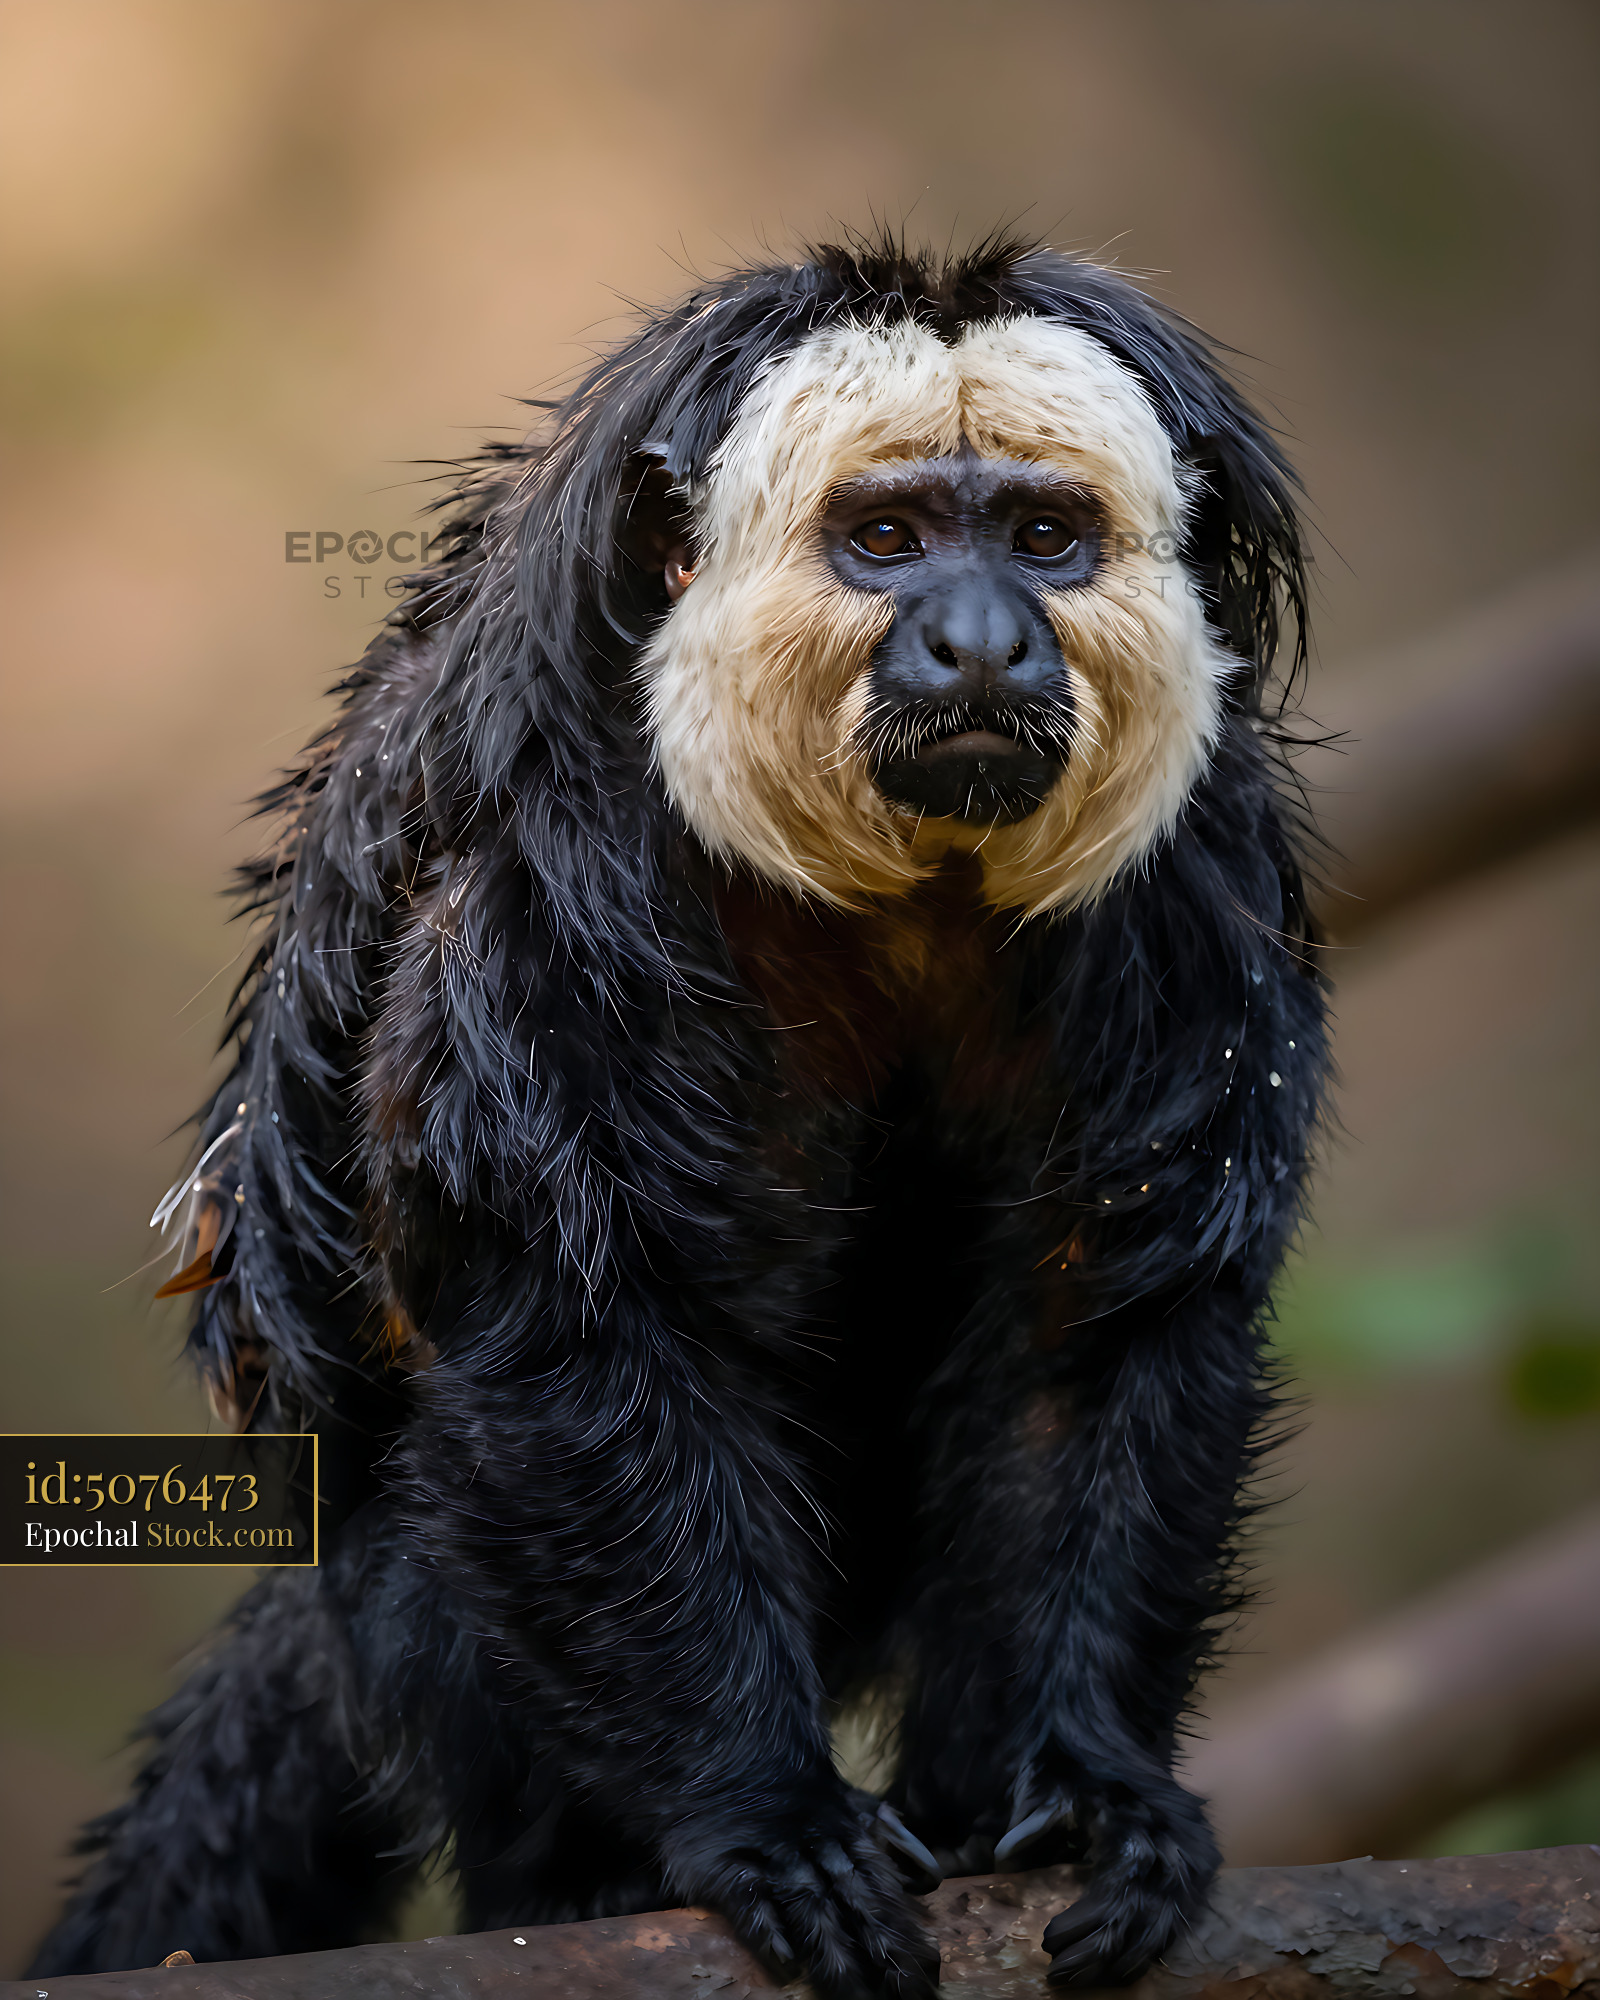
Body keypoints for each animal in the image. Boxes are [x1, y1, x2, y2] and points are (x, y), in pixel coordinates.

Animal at [31, 233, 1324, 1995]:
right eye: (888, 540)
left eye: (1045, 540)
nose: (983, 643)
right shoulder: (555, 873)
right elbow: (573, 1326)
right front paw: (763, 1818)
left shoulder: (1195, 881)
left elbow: (1102, 1323)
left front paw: (1081, 1792)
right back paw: (578, 1873)